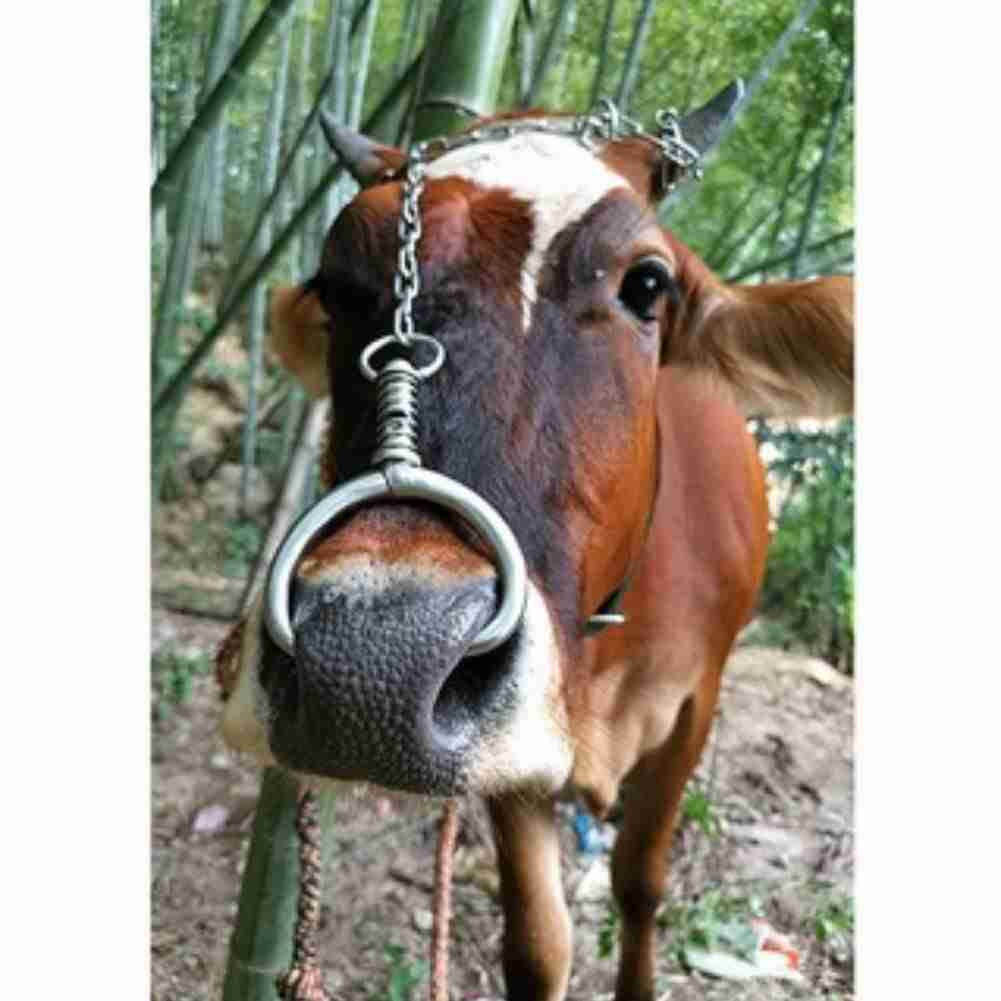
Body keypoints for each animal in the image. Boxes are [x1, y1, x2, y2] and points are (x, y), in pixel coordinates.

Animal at [217, 85, 853, 1001]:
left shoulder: (695, 702)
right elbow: (537, 941)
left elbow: (641, 880)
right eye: (334, 286)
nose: (371, 661)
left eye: (647, 282)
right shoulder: (516, 754)